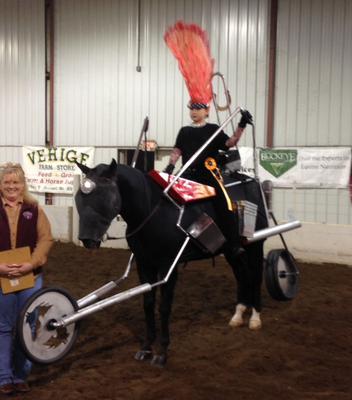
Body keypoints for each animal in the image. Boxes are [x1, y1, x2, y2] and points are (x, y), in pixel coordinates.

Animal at [74, 159, 266, 366]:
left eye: (104, 196)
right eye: (79, 198)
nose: (87, 240)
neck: (152, 211)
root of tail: (252, 183)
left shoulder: (168, 266)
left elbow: (164, 307)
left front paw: (162, 352)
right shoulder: (144, 264)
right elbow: (148, 304)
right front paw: (146, 347)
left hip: (255, 246)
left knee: (255, 278)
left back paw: (255, 318)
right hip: (232, 252)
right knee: (242, 275)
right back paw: (238, 315)